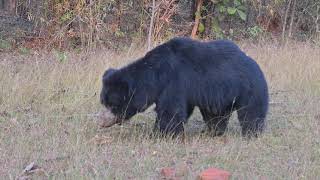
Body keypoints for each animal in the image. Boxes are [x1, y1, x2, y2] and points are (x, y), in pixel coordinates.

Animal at [99, 37, 268, 137]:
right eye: (103, 103)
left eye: (112, 105)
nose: (101, 122)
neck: (155, 73)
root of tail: (256, 65)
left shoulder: (174, 81)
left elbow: (170, 111)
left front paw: (160, 134)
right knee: (216, 115)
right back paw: (212, 131)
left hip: (249, 89)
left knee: (251, 113)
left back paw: (251, 133)